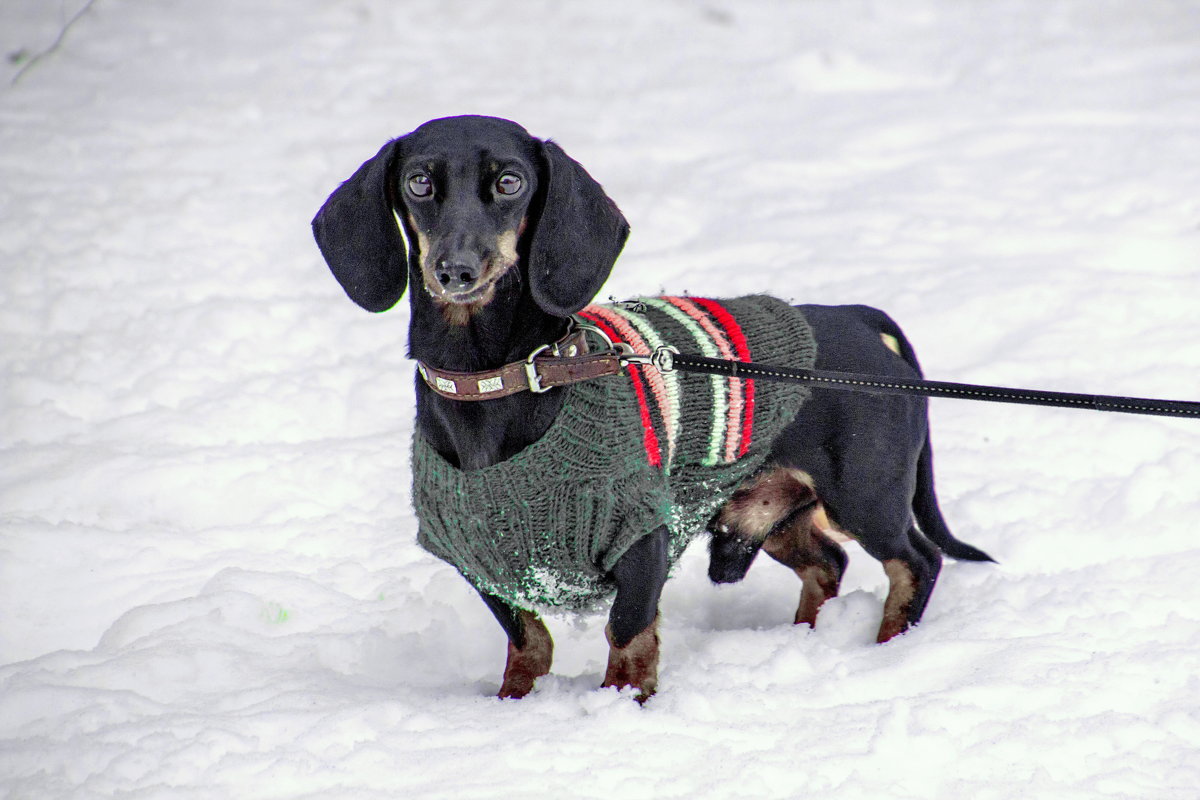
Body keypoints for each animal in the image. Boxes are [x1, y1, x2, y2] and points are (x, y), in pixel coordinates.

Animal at [312, 112, 993, 700]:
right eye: (418, 182)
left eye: (510, 182)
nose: (455, 270)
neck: (502, 381)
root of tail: (857, 319)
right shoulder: (479, 559)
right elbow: (527, 640)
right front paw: (513, 703)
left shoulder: (640, 537)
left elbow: (628, 634)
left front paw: (622, 704)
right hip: (773, 510)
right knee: (827, 564)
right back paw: (805, 638)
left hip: (866, 497)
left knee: (916, 562)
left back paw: (888, 647)